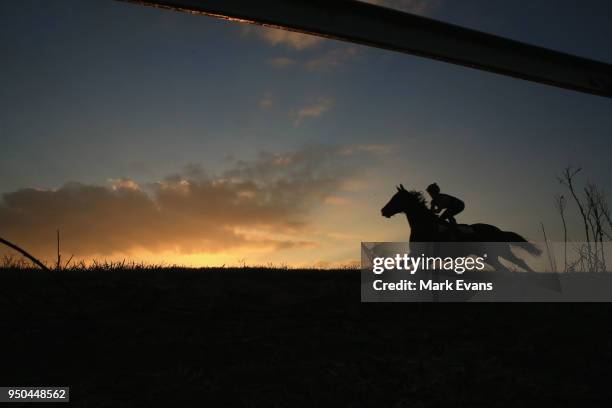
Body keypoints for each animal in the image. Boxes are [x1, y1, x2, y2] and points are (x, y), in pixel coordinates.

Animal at [380, 184, 544, 270]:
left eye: (396, 198)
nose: (383, 211)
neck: (424, 225)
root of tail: (499, 230)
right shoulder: (420, 256)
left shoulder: (419, 255)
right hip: (493, 255)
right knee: (513, 265)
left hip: (499, 252)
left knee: (516, 264)